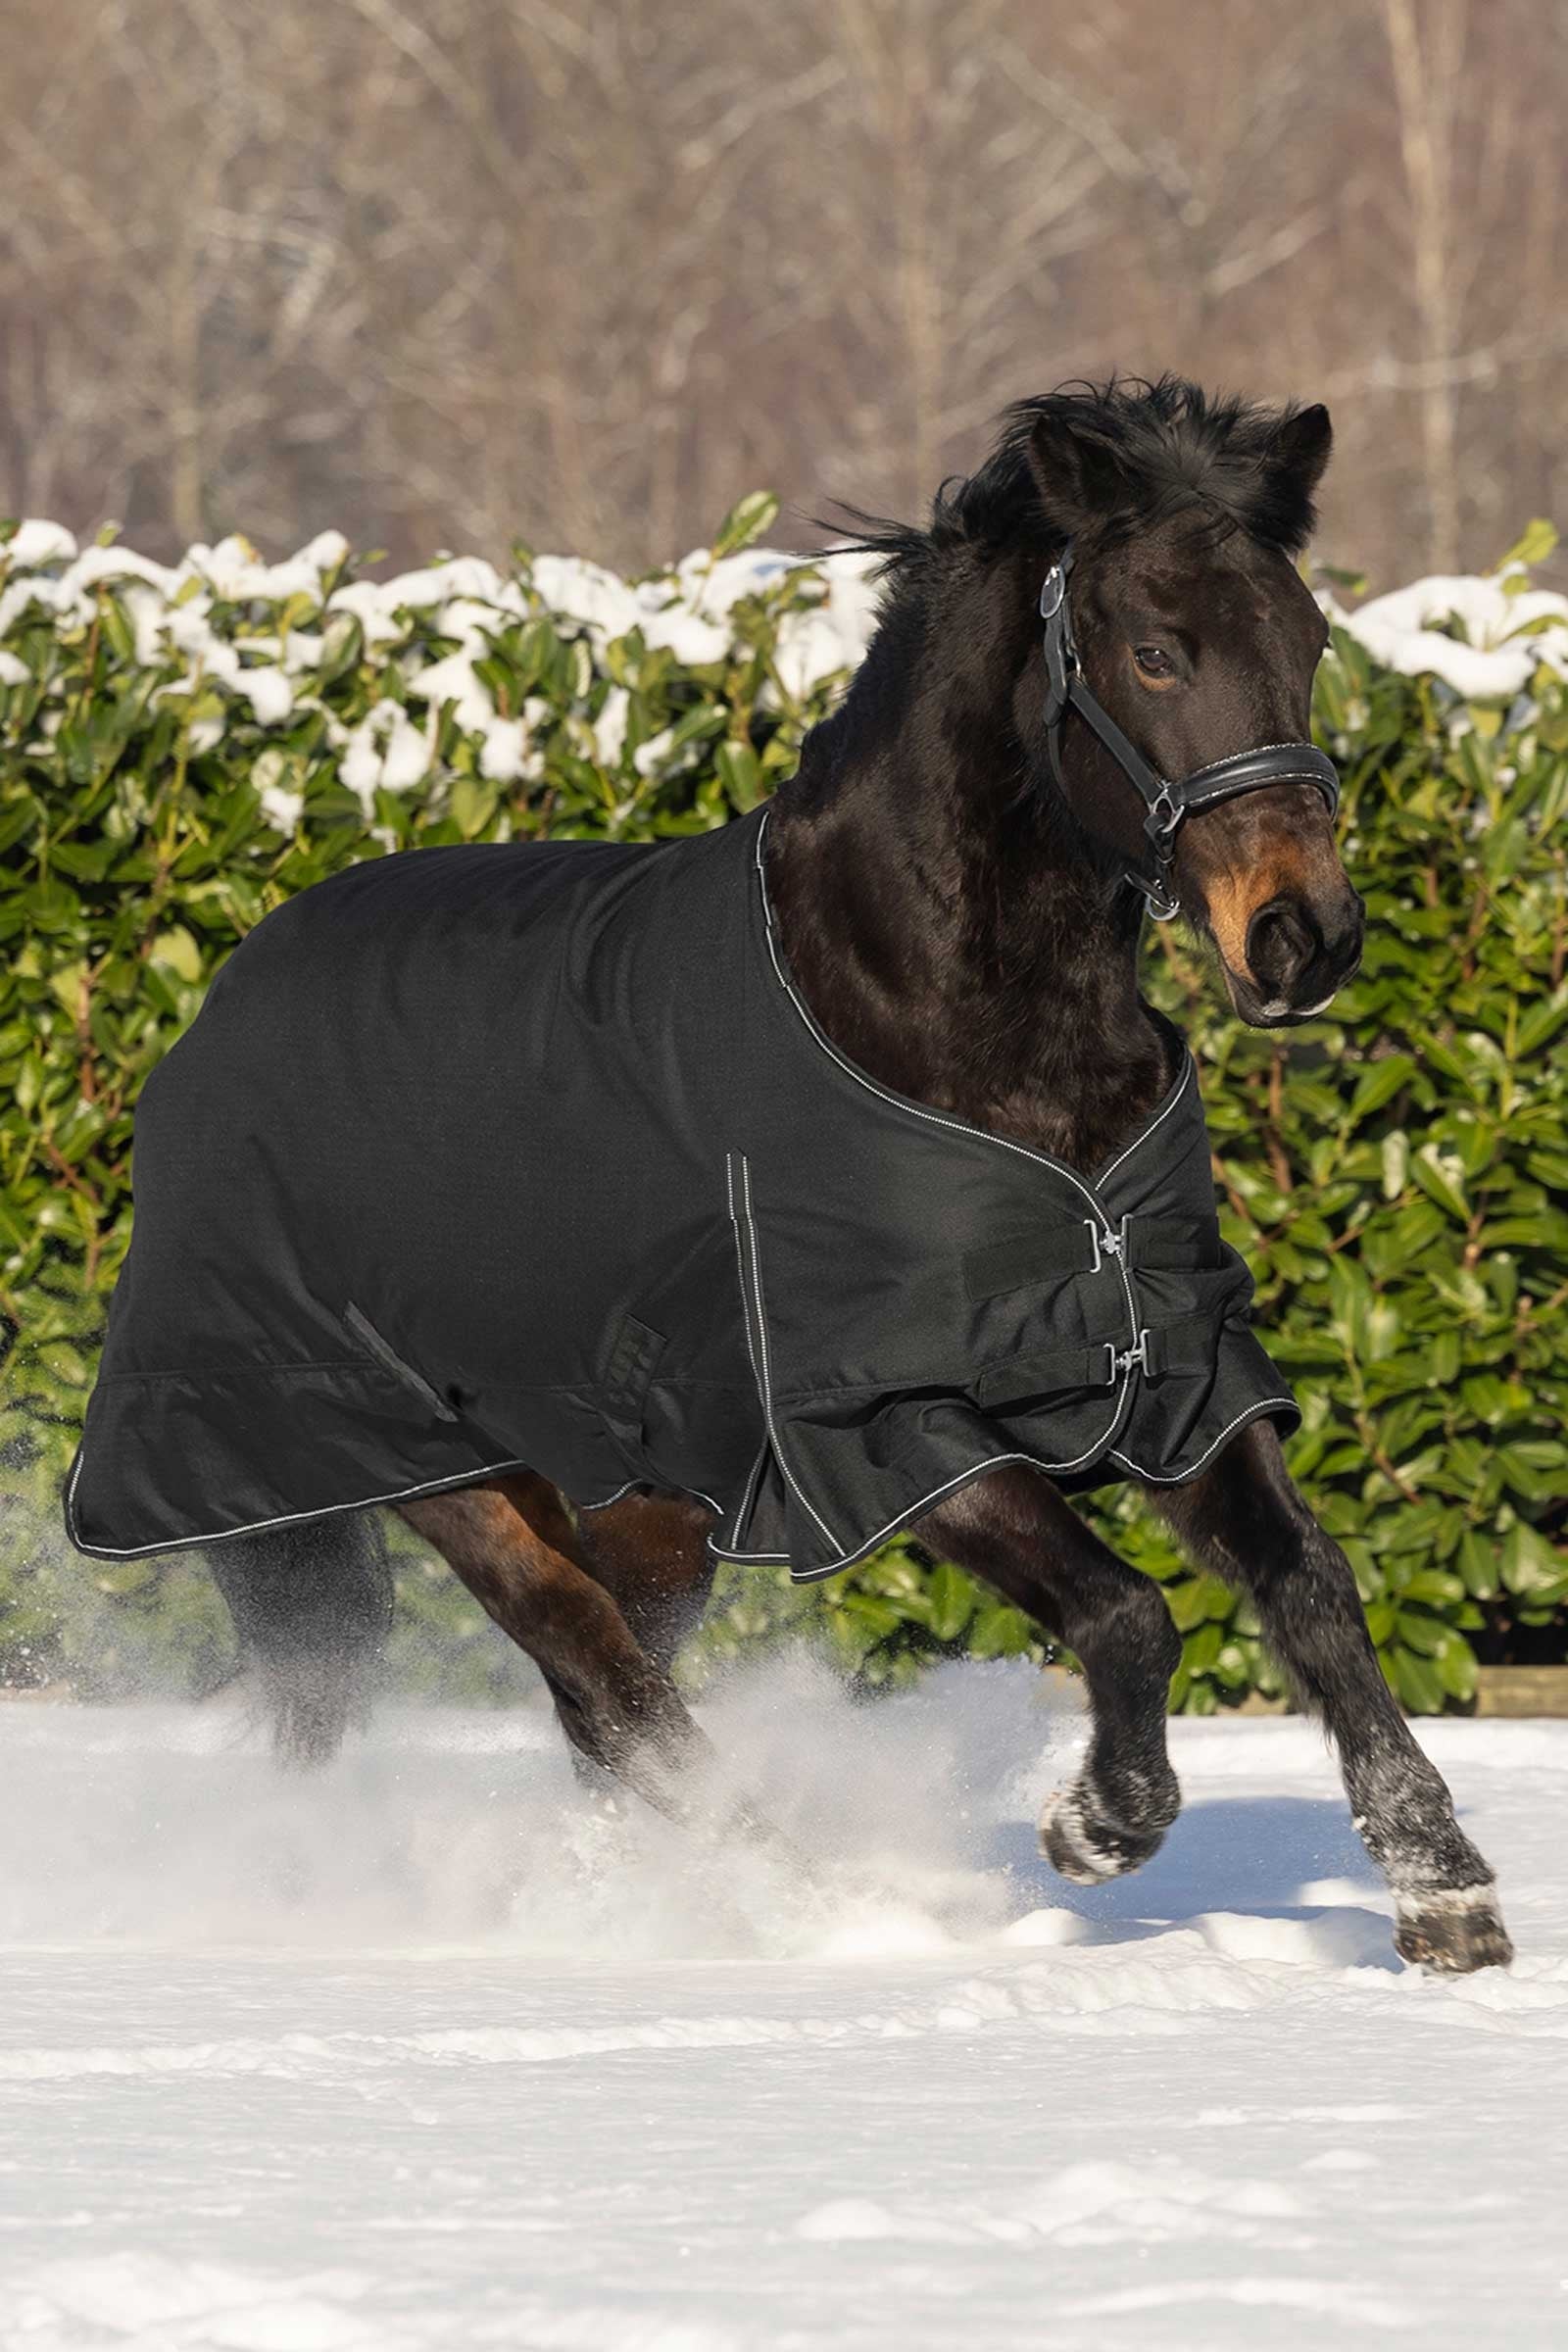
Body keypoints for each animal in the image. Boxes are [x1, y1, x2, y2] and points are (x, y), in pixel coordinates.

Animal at [88, 376, 1512, 1974]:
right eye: (1155, 648)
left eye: (1308, 641)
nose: (1303, 939)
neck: (943, 1007)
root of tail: (213, 1019)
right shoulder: (883, 1424)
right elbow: (1126, 1611)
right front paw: (1101, 1825)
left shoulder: (1174, 1367)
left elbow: (1313, 1588)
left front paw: (1444, 1894)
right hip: (412, 1460)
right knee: (607, 1684)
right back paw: (806, 1905)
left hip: (647, 1505)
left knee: (600, 1701)